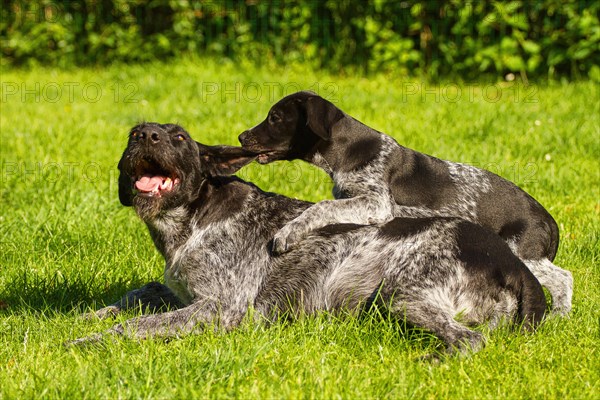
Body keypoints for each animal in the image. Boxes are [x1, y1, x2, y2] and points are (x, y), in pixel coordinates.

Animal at [71, 122, 548, 356]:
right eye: (134, 134)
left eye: (179, 137)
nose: (145, 136)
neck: (195, 217)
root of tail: (517, 267)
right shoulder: (178, 291)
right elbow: (139, 294)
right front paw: (90, 314)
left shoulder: (218, 308)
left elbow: (136, 325)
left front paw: (89, 341)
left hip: (404, 294)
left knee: (469, 341)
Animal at [238, 90, 572, 316]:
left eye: (275, 118)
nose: (241, 137)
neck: (347, 150)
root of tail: (549, 221)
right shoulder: (355, 203)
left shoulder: (377, 203)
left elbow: (320, 206)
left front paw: (288, 233)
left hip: (525, 254)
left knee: (564, 279)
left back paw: (560, 316)